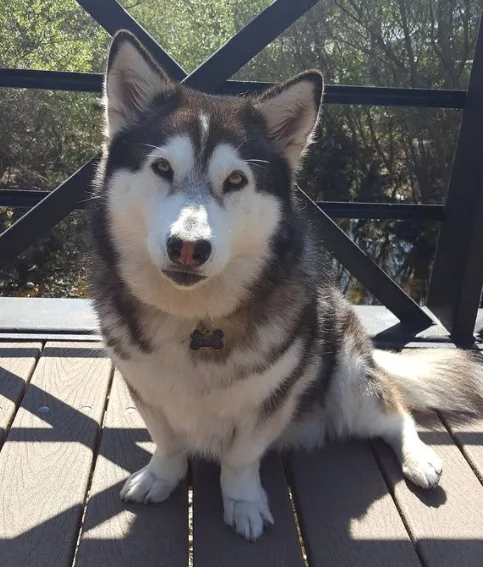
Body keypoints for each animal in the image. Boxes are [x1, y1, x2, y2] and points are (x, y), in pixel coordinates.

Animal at [90, 31, 483, 540]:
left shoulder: (271, 399)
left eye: (236, 179)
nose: (188, 248)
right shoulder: (144, 386)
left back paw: (418, 458)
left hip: (349, 381)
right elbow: (168, 441)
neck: (196, 319)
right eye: (161, 168)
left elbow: (240, 458)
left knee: (395, 412)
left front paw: (243, 502)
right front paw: (161, 476)